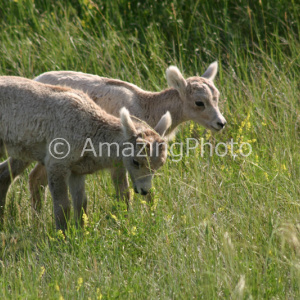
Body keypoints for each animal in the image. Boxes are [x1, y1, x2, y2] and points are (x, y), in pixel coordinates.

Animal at [0, 77, 171, 230]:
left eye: (159, 165)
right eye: (136, 161)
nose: (144, 190)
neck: (89, 132)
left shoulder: (76, 171)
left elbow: (81, 204)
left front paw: (81, 235)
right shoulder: (56, 164)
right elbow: (63, 206)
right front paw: (62, 237)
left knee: (4, 175)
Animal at [30, 61, 226, 211]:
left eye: (217, 97)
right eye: (199, 103)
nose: (221, 123)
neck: (148, 107)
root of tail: (36, 78)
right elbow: (125, 194)